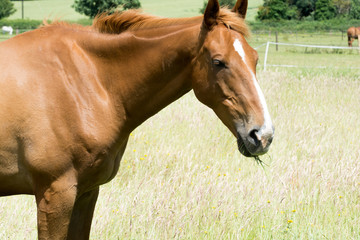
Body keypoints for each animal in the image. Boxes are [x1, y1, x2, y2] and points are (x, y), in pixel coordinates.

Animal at [0, 0, 272, 238]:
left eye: (255, 58)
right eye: (218, 62)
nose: (262, 135)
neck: (85, 80)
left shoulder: (86, 193)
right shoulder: (55, 195)